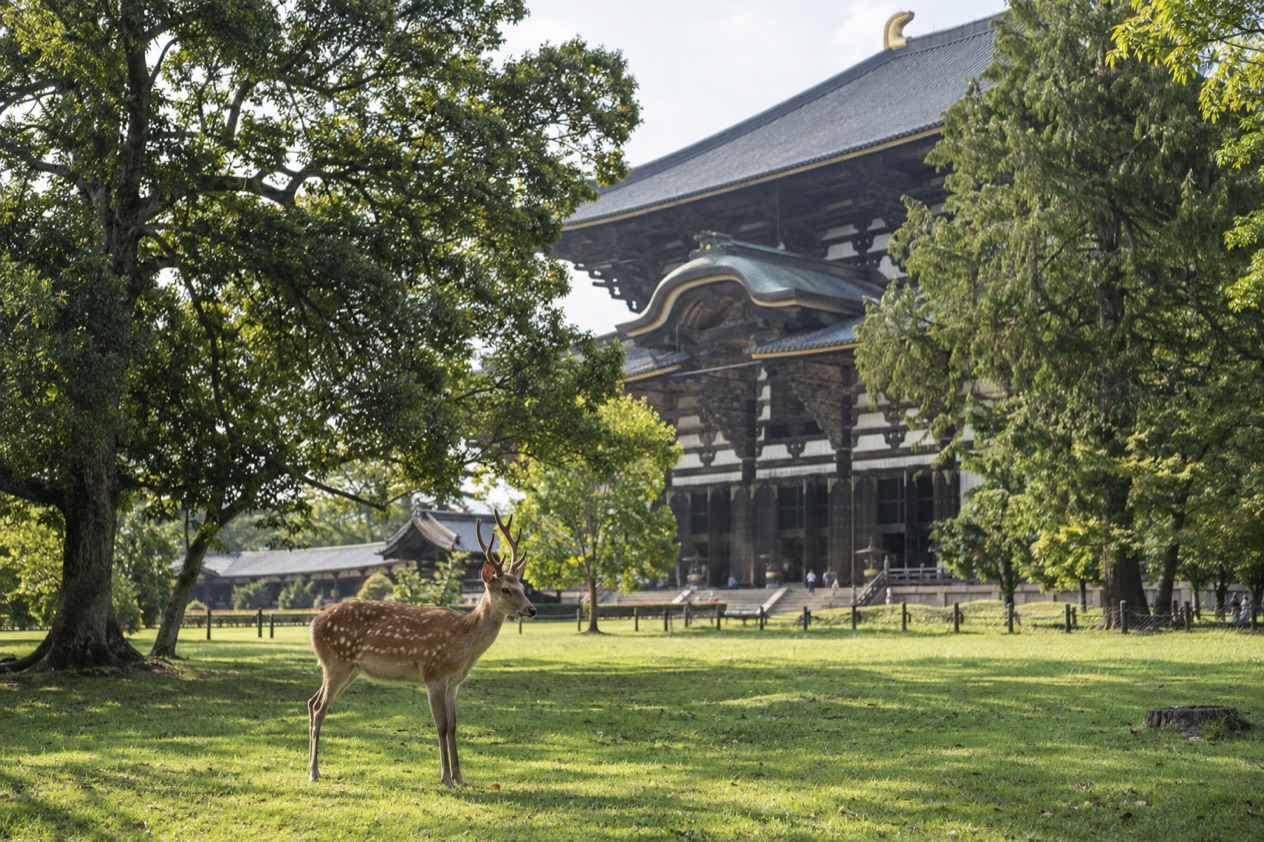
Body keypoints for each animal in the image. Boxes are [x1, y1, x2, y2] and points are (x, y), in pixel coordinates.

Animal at [307, 511, 535, 786]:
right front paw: (446, 778)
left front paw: (461, 778)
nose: (532, 609)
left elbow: (453, 726)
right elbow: (441, 725)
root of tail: (313, 624)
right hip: (336, 663)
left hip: (348, 669)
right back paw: (313, 772)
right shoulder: (433, 673)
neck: (464, 643)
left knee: (312, 701)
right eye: (505, 589)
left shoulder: (454, 682)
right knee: (319, 707)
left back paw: (312, 767)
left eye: (522, 587)